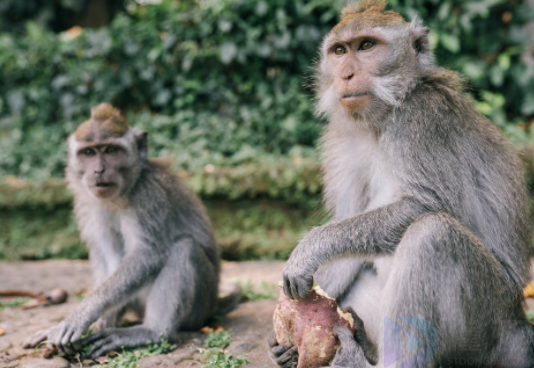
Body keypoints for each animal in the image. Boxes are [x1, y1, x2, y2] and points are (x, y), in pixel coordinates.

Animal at [22, 102, 238, 358]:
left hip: (200, 307)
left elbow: (148, 254)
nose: (98, 170)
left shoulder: (148, 196)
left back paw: (152, 331)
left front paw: (83, 314)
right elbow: (108, 255)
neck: (121, 194)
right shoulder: (88, 205)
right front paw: (98, 321)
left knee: (185, 248)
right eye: (89, 153)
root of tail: (215, 303)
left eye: (111, 150)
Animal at [272, 0, 534, 368]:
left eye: (366, 46)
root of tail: (517, 323)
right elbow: (348, 227)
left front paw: (309, 248)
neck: (382, 118)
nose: (345, 75)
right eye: (339, 51)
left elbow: (426, 204)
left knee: (432, 233)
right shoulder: (342, 138)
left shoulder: (420, 119)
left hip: (486, 323)